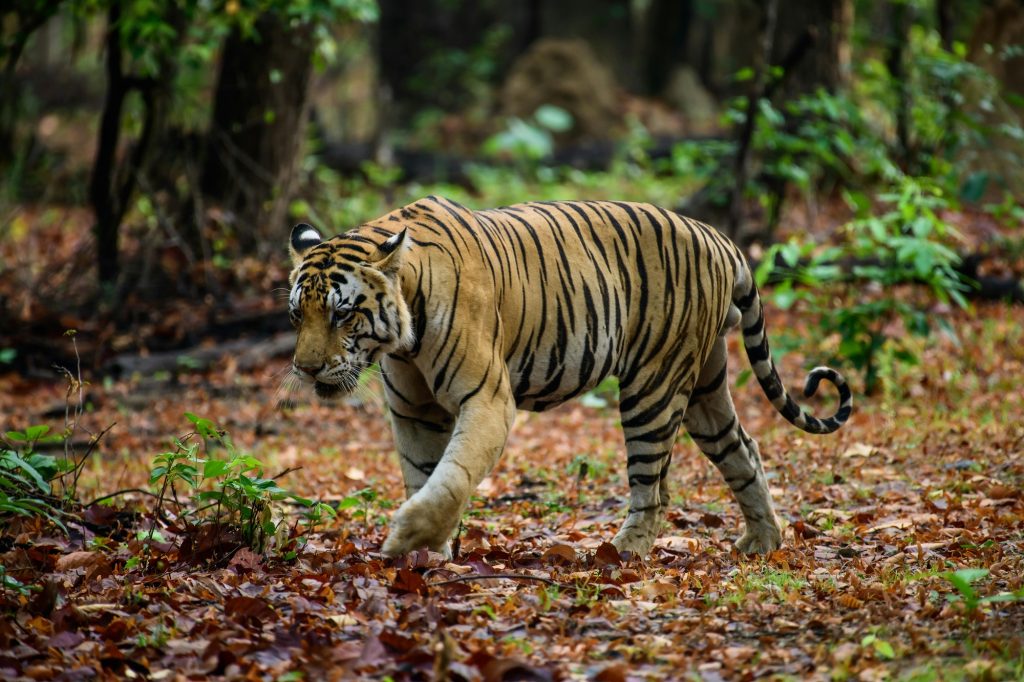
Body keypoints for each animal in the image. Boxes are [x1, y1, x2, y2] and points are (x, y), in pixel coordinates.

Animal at [285, 196, 852, 558]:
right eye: (297, 314)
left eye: (341, 314)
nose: (306, 369)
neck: (402, 336)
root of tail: (717, 236)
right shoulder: (414, 410)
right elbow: (423, 474)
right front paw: (427, 553)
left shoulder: (487, 399)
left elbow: (453, 475)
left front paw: (406, 538)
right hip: (704, 388)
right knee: (743, 450)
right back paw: (763, 541)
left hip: (653, 385)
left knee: (653, 488)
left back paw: (622, 553)